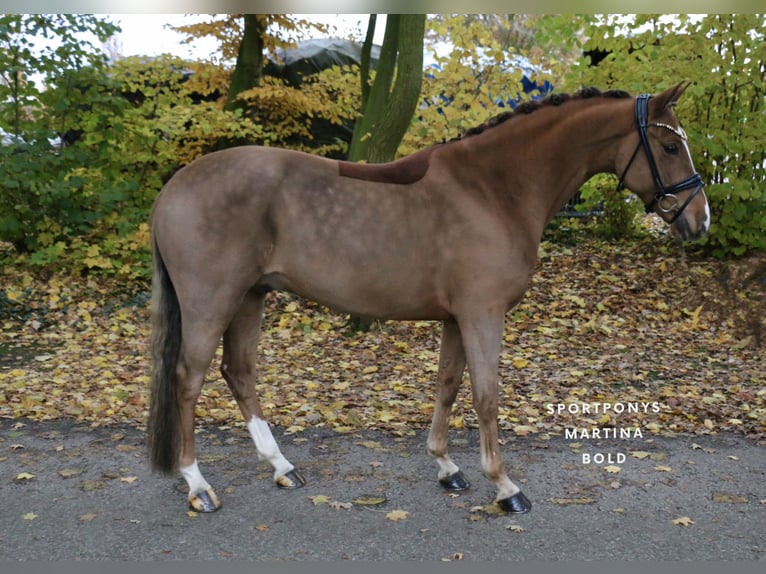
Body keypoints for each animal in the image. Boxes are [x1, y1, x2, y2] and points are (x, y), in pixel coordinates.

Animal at [147, 83, 712, 516]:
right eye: (669, 148)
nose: (699, 219)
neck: (492, 189)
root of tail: (173, 188)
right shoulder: (483, 314)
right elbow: (486, 396)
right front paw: (505, 487)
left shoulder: (456, 318)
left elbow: (447, 386)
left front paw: (447, 467)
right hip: (212, 302)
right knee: (189, 379)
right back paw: (198, 485)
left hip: (251, 296)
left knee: (238, 372)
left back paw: (282, 467)